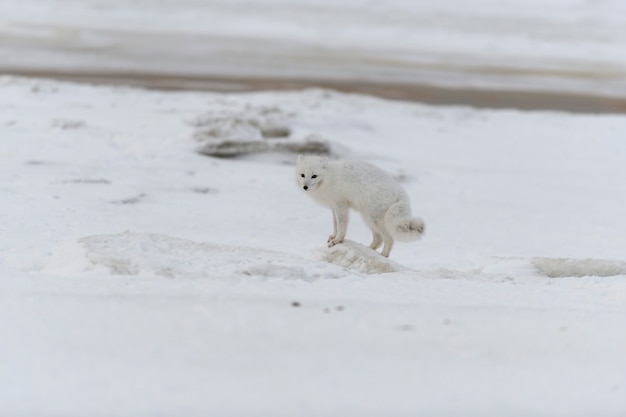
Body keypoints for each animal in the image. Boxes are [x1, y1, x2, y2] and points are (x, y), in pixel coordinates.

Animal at [294, 154, 422, 255]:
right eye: (302, 175)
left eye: (314, 176)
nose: (305, 187)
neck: (330, 178)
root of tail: (401, 193)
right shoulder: (333, 206)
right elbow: (335, 223)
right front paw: (333, 237)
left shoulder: (341, 204)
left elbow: (341, 224)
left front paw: (337, 240)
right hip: (368, 218)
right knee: (378, 239)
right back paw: (369, 249)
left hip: (374, 218)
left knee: (389, 239)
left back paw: (383, 255)